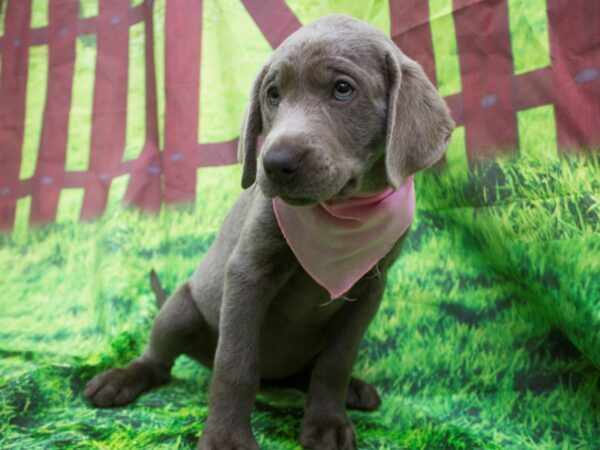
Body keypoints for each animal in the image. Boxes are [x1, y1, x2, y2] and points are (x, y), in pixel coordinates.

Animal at [83, 14, 450, 450]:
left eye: (343, 89)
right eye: (273, 95)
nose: (274, 163)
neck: (340, 213)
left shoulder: (369, 288)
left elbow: (337, 362)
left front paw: (326, 422)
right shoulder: (248, 272)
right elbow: (235, 363)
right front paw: (225, 439)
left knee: (309, 370)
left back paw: (353, 390)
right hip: (180, 310)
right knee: (159, 361)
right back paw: (121, 379)